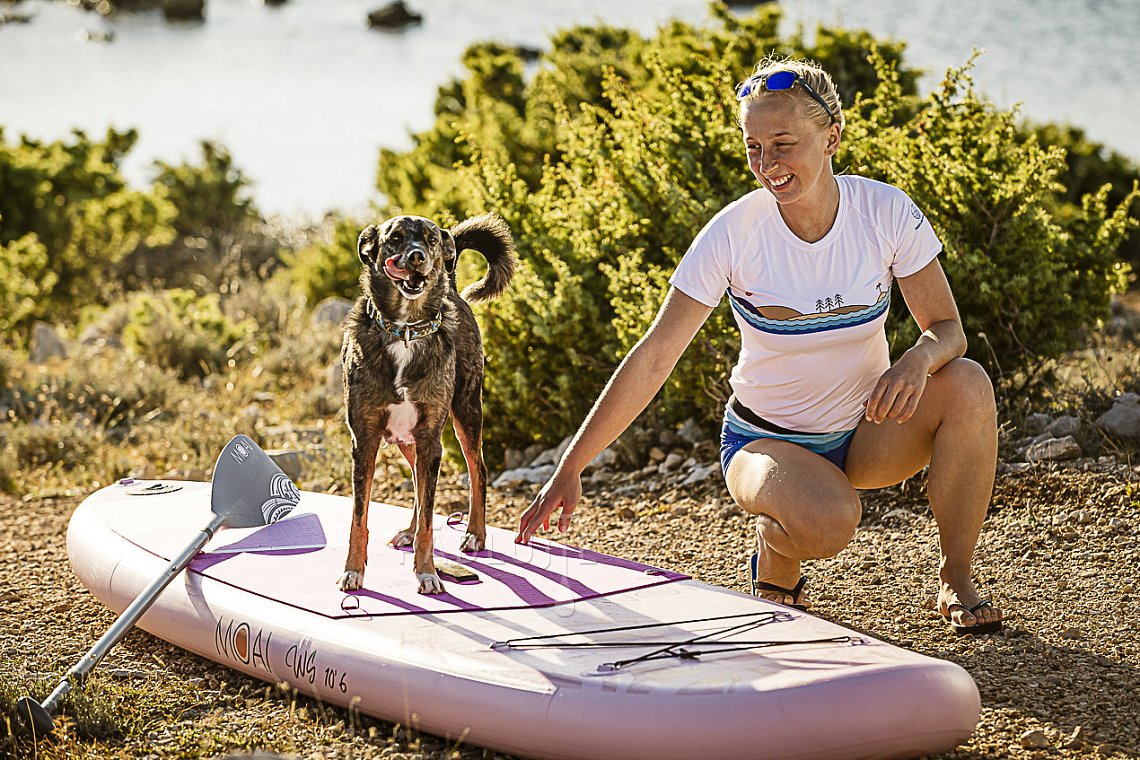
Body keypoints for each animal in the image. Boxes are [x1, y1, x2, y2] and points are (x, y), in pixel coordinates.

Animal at [335, 214, 515, 592]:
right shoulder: (365, 440)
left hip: (465, 412)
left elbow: (431, 521)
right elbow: (360, 516)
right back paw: (409, 530)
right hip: (409, 439)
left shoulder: (432, 438)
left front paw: (427, 572)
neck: (405, 330)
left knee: (478, 471)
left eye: (431, 239)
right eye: (395, 238)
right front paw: (353, 570)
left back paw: (475, 534)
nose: (417, 257)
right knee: (419, 485)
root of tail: (454, 291)